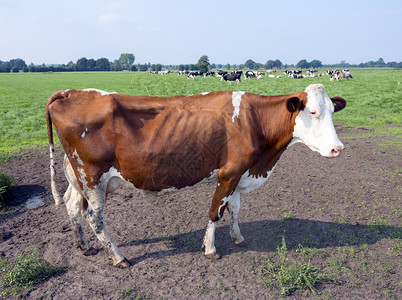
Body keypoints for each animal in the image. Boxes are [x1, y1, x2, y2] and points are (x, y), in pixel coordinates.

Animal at [44, 84, 346, 268]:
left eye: (333, 111)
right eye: (313, 112)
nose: (337, 148)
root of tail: (69, 92)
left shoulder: (239, 174)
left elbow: (235, 209)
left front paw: (237, 236)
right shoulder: (229, 173)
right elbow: (215, 212)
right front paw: (211, 249)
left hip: (78, 176)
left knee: (72, 205)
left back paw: (83, 245)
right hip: (93, 176)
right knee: (94, 218)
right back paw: (118, 257)